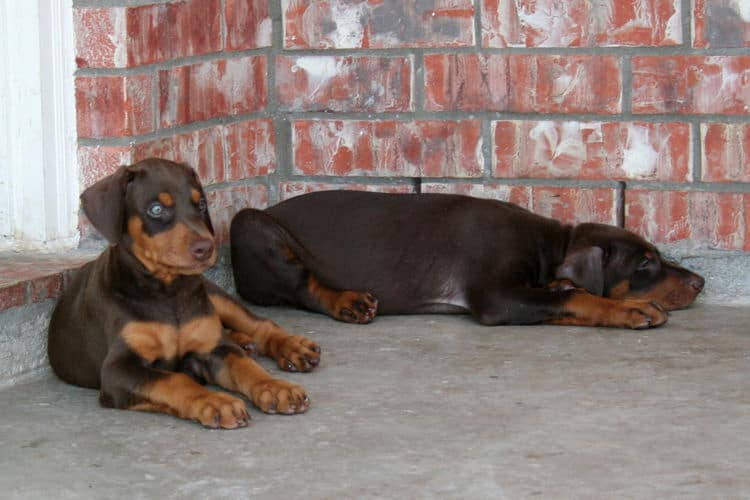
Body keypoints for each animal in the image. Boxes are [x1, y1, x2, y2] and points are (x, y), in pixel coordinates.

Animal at [47, 158, 320, 428]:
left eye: (201, 204)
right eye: (156, 209)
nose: (205, 247)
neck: (167, 291)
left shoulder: (214, 347)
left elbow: (244, 365)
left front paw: (275, 387)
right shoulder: (118, 369)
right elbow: (175, 380)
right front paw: (215, 402)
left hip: (213, 294)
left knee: (260, 324)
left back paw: (291, 347)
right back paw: (243, 342)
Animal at [229, 190, 704, 328]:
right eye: (644, 264)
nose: (700, 282)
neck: (551, 244)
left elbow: (562, 296)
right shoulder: (495, 295)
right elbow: (577, 297)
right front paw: (631, 309)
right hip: (250, 225)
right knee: (303, 287)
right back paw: (346, 301)